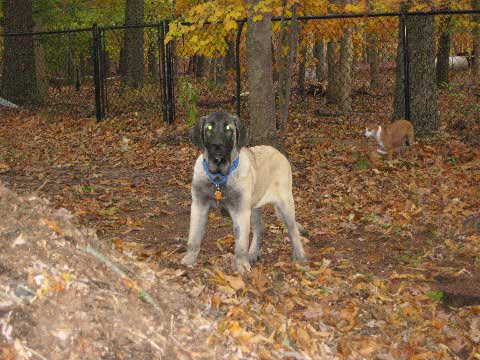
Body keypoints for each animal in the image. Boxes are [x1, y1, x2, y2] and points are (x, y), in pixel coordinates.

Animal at [180, 111, 308, 274]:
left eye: (228, 128)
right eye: (209, 128)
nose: (217, 146)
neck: (219, 177)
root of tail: (278, 152)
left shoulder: (240, 211)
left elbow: (241, 243)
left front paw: (242, 266)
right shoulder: (199, 205)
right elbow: (194, 236)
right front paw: (190, 258)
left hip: (284, 204)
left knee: (293, 230)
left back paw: (300, 255)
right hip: (253, 208)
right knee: (260, 228)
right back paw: (253, 253)